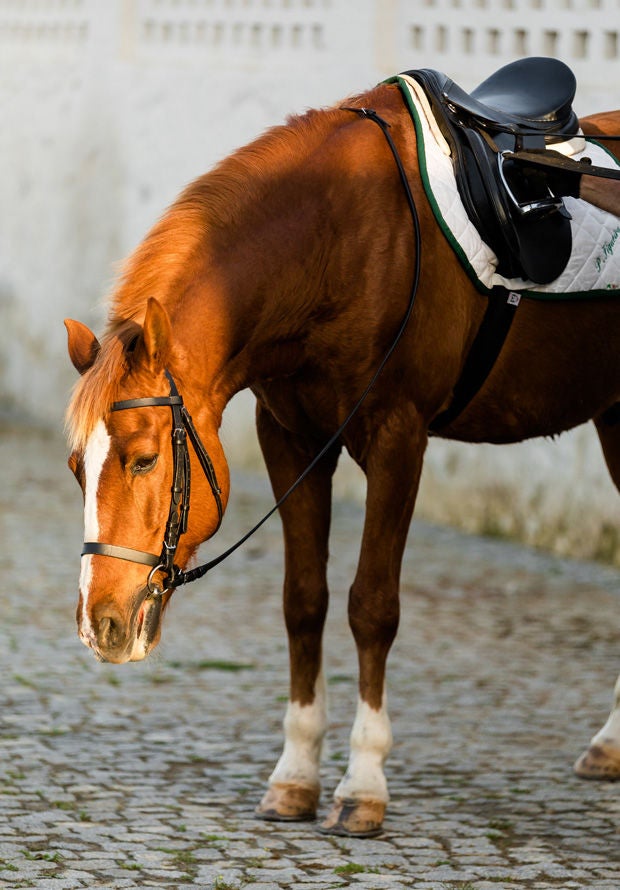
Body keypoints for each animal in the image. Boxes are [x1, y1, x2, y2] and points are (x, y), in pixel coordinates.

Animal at [65, 73, 620, 836]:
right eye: (76, 469)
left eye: (145, 458)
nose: (101, 626)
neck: (339, 241)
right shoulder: (290, 437)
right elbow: (304, 601)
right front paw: (295, 776)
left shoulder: (396, 440)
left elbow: (371, 607)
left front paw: (363, 784)